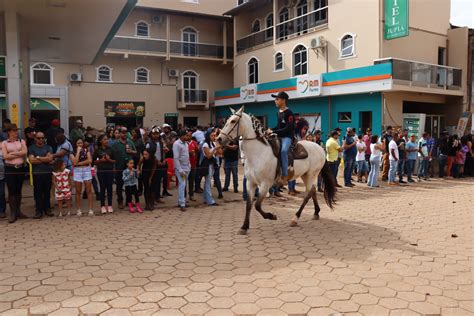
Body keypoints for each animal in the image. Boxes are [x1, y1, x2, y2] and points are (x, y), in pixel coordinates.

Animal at [217, 106, 336, 235]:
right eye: (226, 121)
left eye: (233, 121)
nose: (219, 139)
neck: (258, 153)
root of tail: (320, 148)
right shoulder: (250, 183)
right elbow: (249, 205)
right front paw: (244, 227)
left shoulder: (265, 184)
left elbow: (257, 205)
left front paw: (271, 216)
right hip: (305, 175)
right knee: (313, 191)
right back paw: (316, 212)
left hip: (311, 174)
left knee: (308, 195)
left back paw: (295, 218)